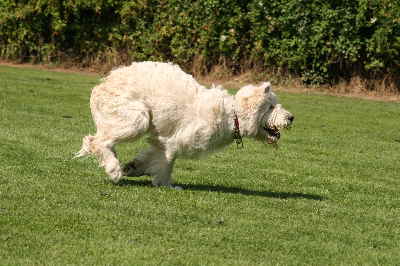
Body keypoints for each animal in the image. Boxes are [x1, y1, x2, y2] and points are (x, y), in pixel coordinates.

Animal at [76, 61, 294, 188]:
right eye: (271, 106)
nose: (291, 117)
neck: (231, 115)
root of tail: (104, 82)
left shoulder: (161, 142)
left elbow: (150, 158)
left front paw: (134, 167)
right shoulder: (174, 141)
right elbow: (167, 163)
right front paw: (166, 184)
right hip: (137, 118)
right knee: (98, 141)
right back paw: (113, 169)